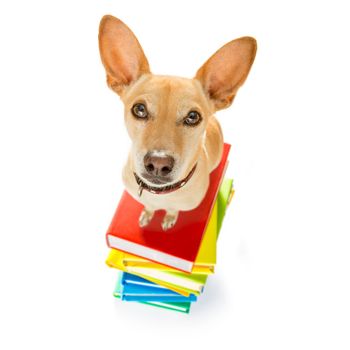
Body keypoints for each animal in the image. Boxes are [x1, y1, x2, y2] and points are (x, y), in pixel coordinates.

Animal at [98, 15, 258, 230]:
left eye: (193, 117)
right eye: (139, 109)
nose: (158, 163)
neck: (159, 194)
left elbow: (173, 210)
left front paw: (169, 218)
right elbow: (149, 207)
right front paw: (148, 214)